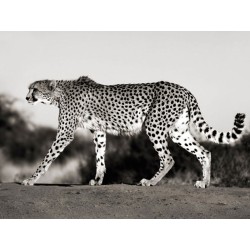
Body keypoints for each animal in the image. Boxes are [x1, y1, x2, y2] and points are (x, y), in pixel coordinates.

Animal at [23, 76, 246, 188]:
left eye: (34, 89)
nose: (26, 98)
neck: (59, 93)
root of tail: (184, 89)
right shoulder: (99, 131)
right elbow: (100, 157)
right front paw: (98, 180)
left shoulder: (65, 133)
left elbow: (47, 158)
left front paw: (31, 179)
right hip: (178, 132)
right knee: (204, 152)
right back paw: (204, 183)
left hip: (154, 125)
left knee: (168, 158)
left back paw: (151, 181)